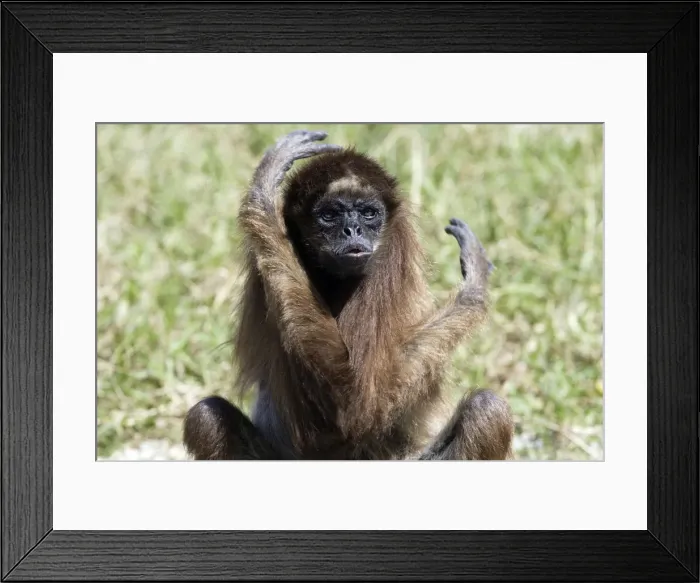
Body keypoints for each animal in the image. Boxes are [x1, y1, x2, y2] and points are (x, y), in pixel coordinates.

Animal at [183, 130, 514, 461]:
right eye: (330, 215)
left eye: (368, 213)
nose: (352, 230)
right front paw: (263, 193)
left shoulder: (390, 255)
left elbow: (361, 404)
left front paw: (474, 288)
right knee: (207, 416)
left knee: (486, 410)